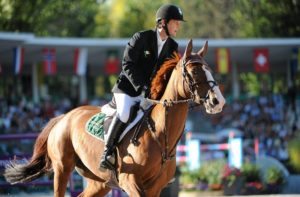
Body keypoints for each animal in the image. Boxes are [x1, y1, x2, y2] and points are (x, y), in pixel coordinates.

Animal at [4, 39, 225, 196]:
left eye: (210, 70)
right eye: (194, 72)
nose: (218, 102)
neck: (161, 134)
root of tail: (64, 117)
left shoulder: (155, 187)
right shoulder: (130, 181)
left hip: (100, 181)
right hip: (62, 169)